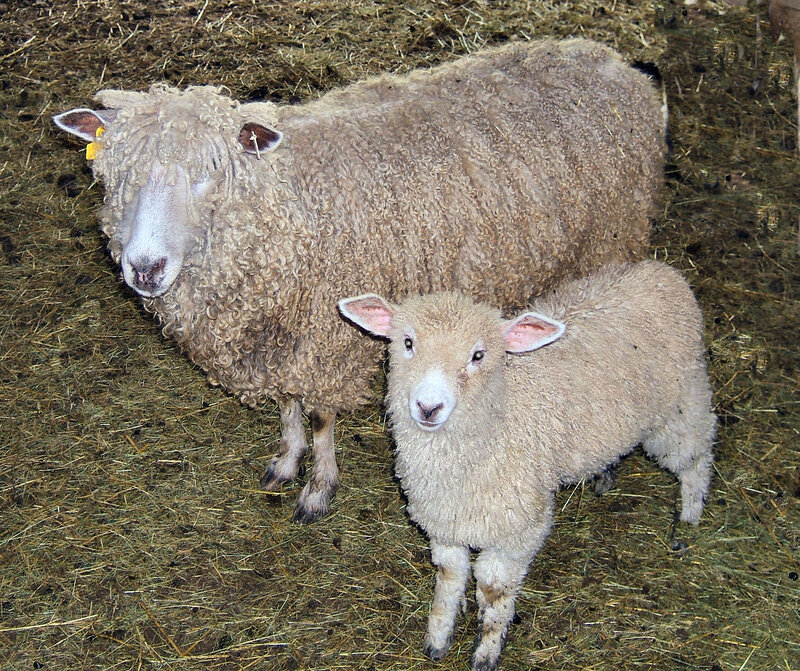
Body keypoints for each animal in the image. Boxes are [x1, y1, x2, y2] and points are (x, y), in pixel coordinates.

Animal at [52, 38, 666, 523]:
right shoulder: (288, 338)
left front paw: (318, 489)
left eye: (211, 173)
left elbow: (322, 417)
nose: (145, 267)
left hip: (610, 242)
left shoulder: (332, 338)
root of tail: (619, 64)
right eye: (114, 174)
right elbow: (288, 405)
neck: (287, 208)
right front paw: (286, 460)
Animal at [338, 260, 716, 671]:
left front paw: (486, 651)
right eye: (407, 343)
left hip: (681, 406)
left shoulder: (517, 531)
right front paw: (438, 638)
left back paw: (690, 515)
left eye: (478, 355)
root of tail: (665, 272)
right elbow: (449, 578)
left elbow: (493, 589)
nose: (428, 407)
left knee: (697, 456)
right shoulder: (445, 523)